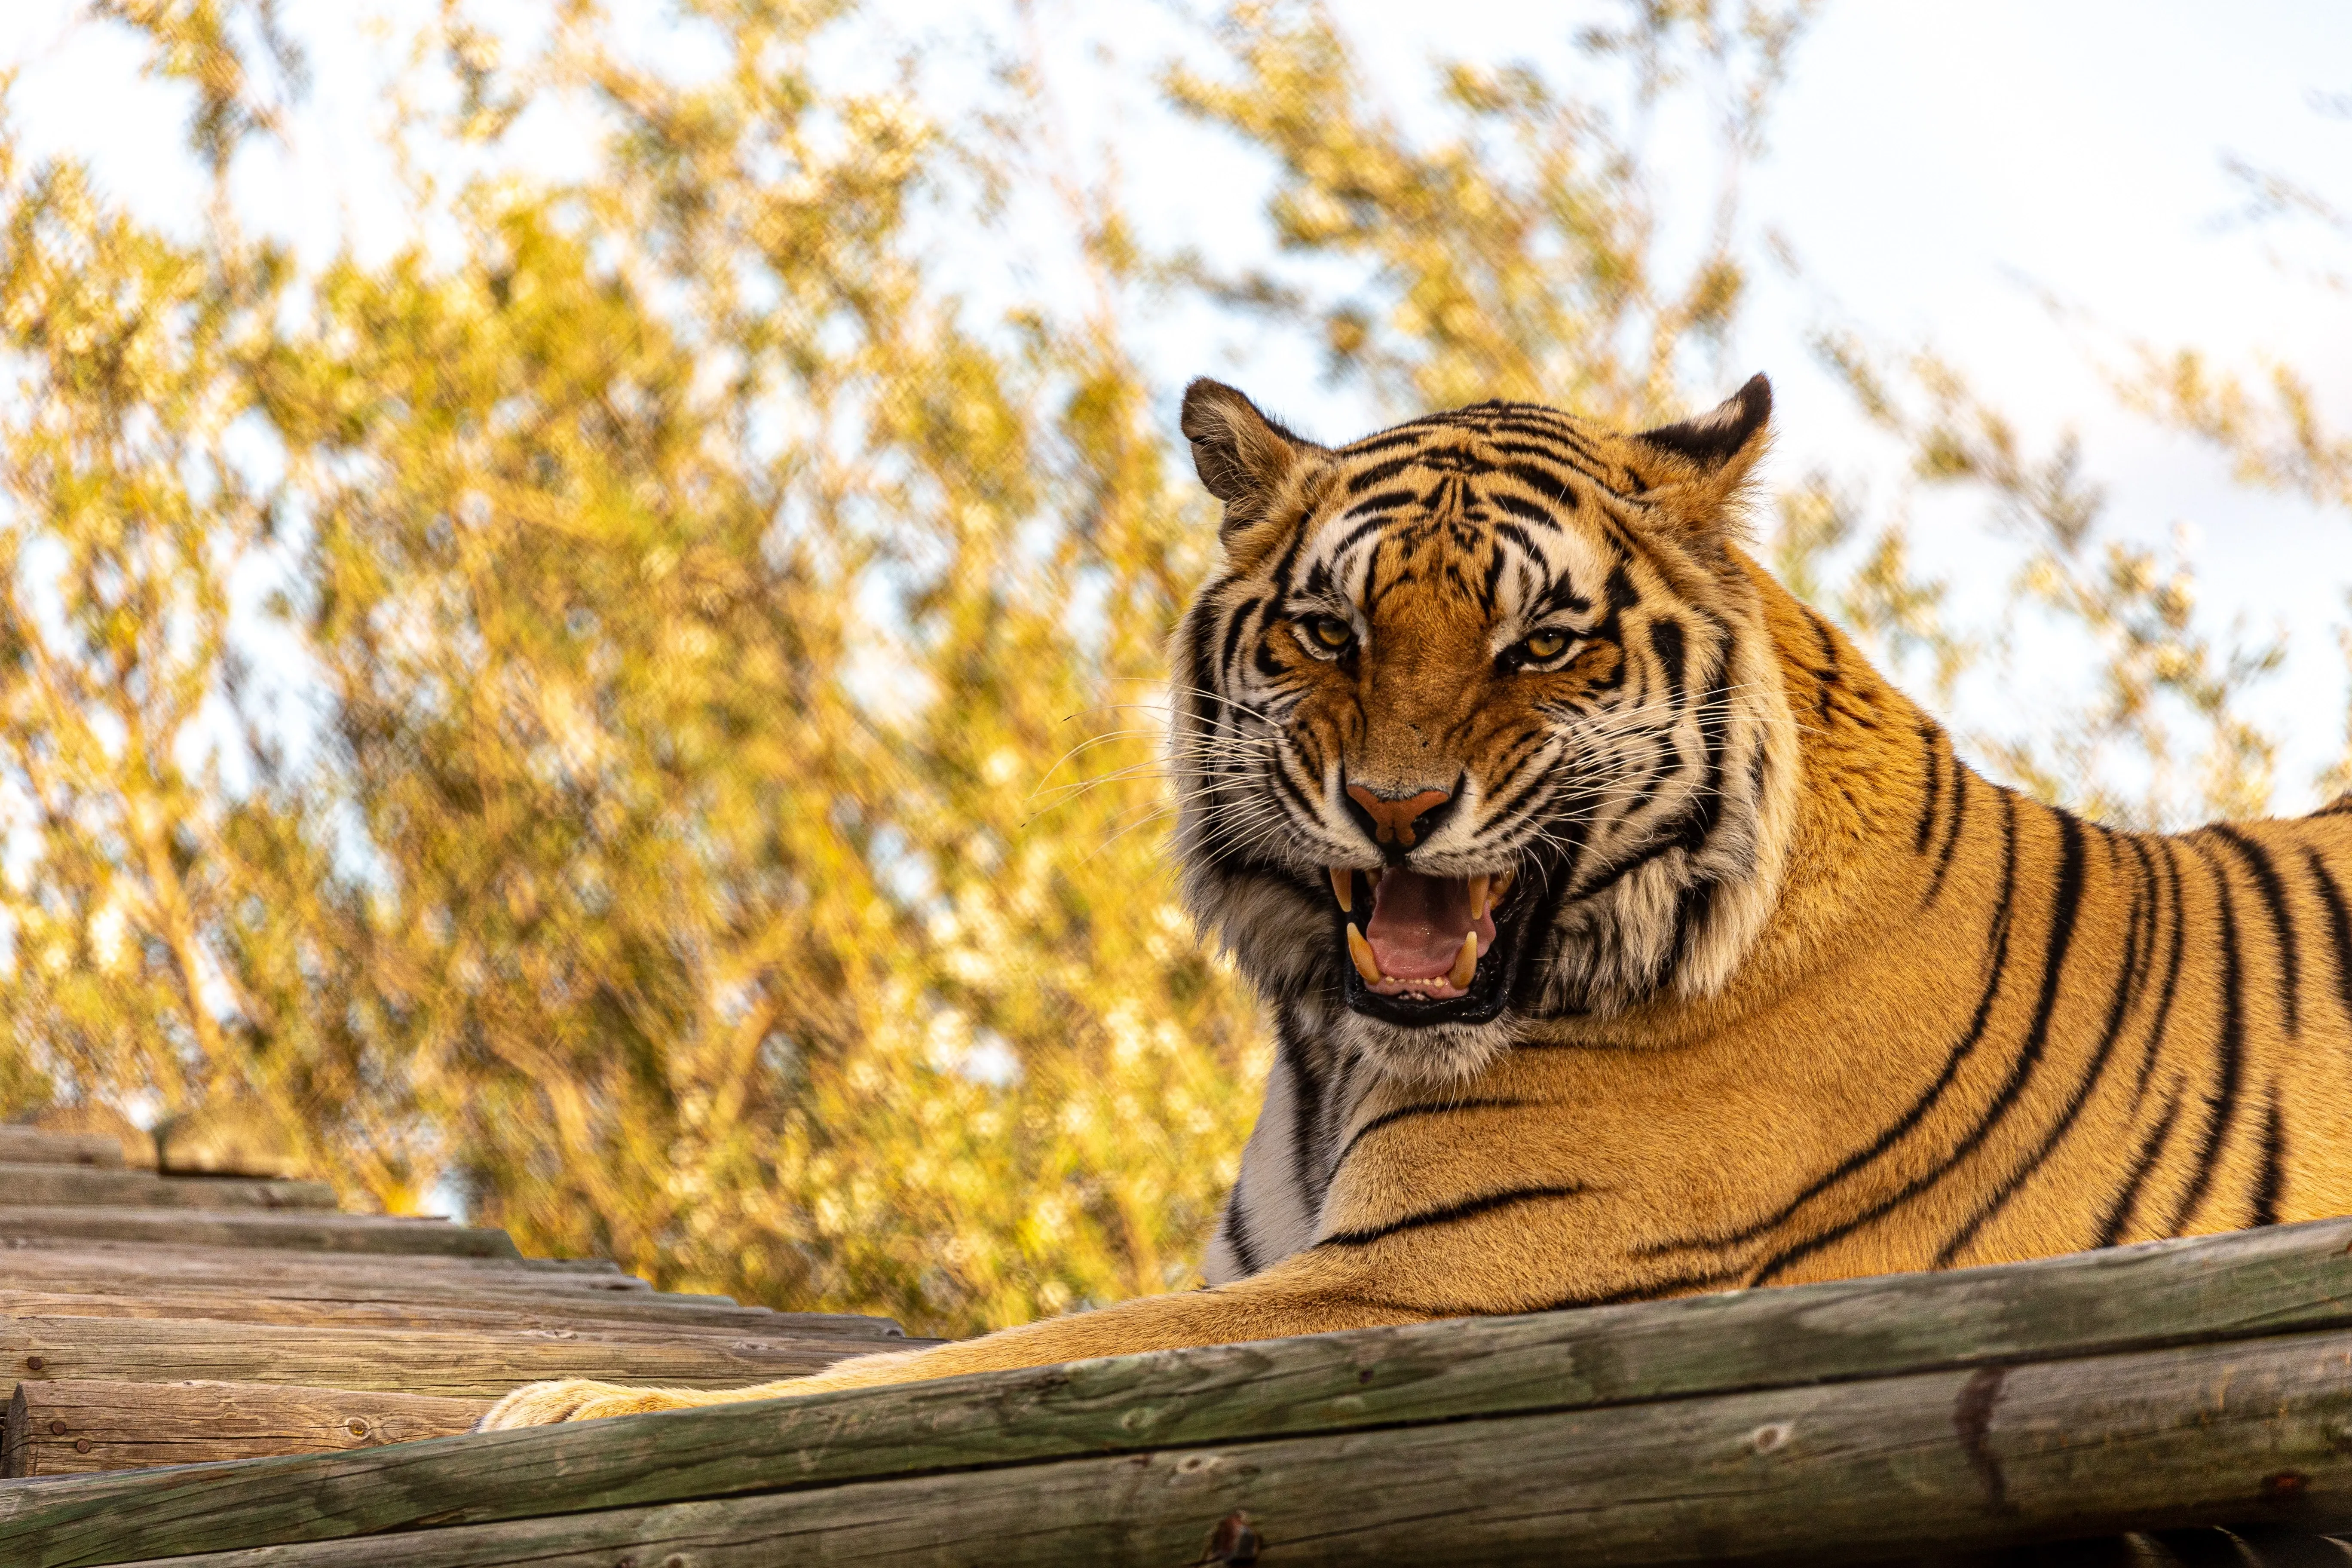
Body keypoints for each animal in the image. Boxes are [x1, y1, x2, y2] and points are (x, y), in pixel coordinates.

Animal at [481, 372, 2352, 1429]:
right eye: (1330, 629)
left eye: (1542, 643)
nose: (1394, 809)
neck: (1338, 1051)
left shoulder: (1413, 1291)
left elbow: (969, 1358)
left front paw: (567, 1399)